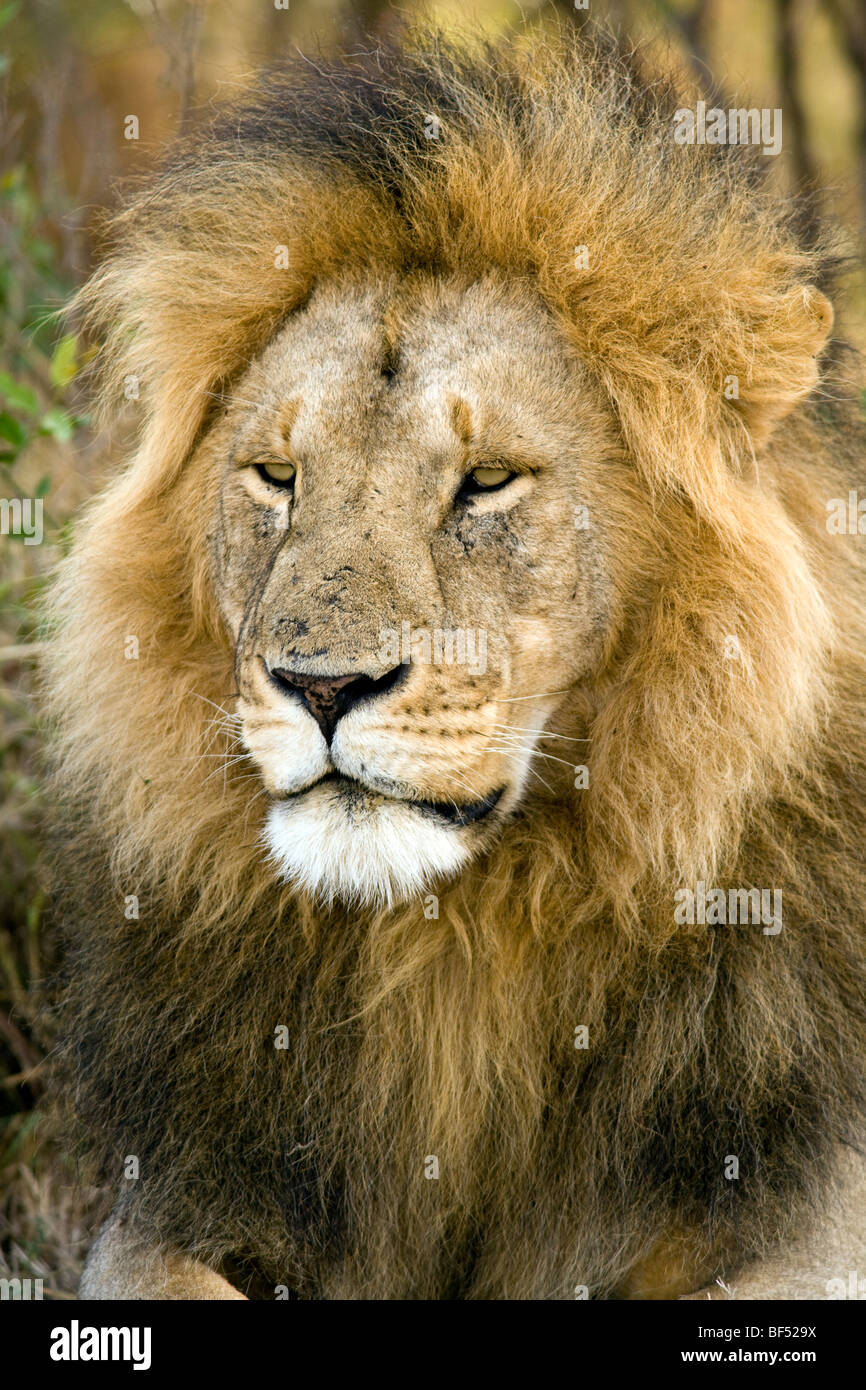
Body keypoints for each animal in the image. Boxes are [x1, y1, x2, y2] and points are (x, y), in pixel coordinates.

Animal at [42, 27, 866, 1295]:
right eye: (276, 477)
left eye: (485, 482)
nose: (322, 686)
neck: (457, 950)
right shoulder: (163, 1214)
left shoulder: (804, 1215)